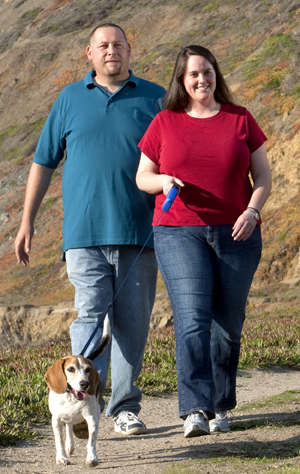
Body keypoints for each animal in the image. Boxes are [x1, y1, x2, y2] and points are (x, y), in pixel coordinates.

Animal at [44, 314, 110, 466]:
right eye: (70, 369)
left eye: (88, 369)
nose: (85, 384)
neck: (71, 399)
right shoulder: (56, 420)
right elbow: (59, 440)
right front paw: (61, 457)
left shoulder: (91, 418)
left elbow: (91, 441)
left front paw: (91, 458)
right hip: (65, 417)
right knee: (69, 426)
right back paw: (69, 446)